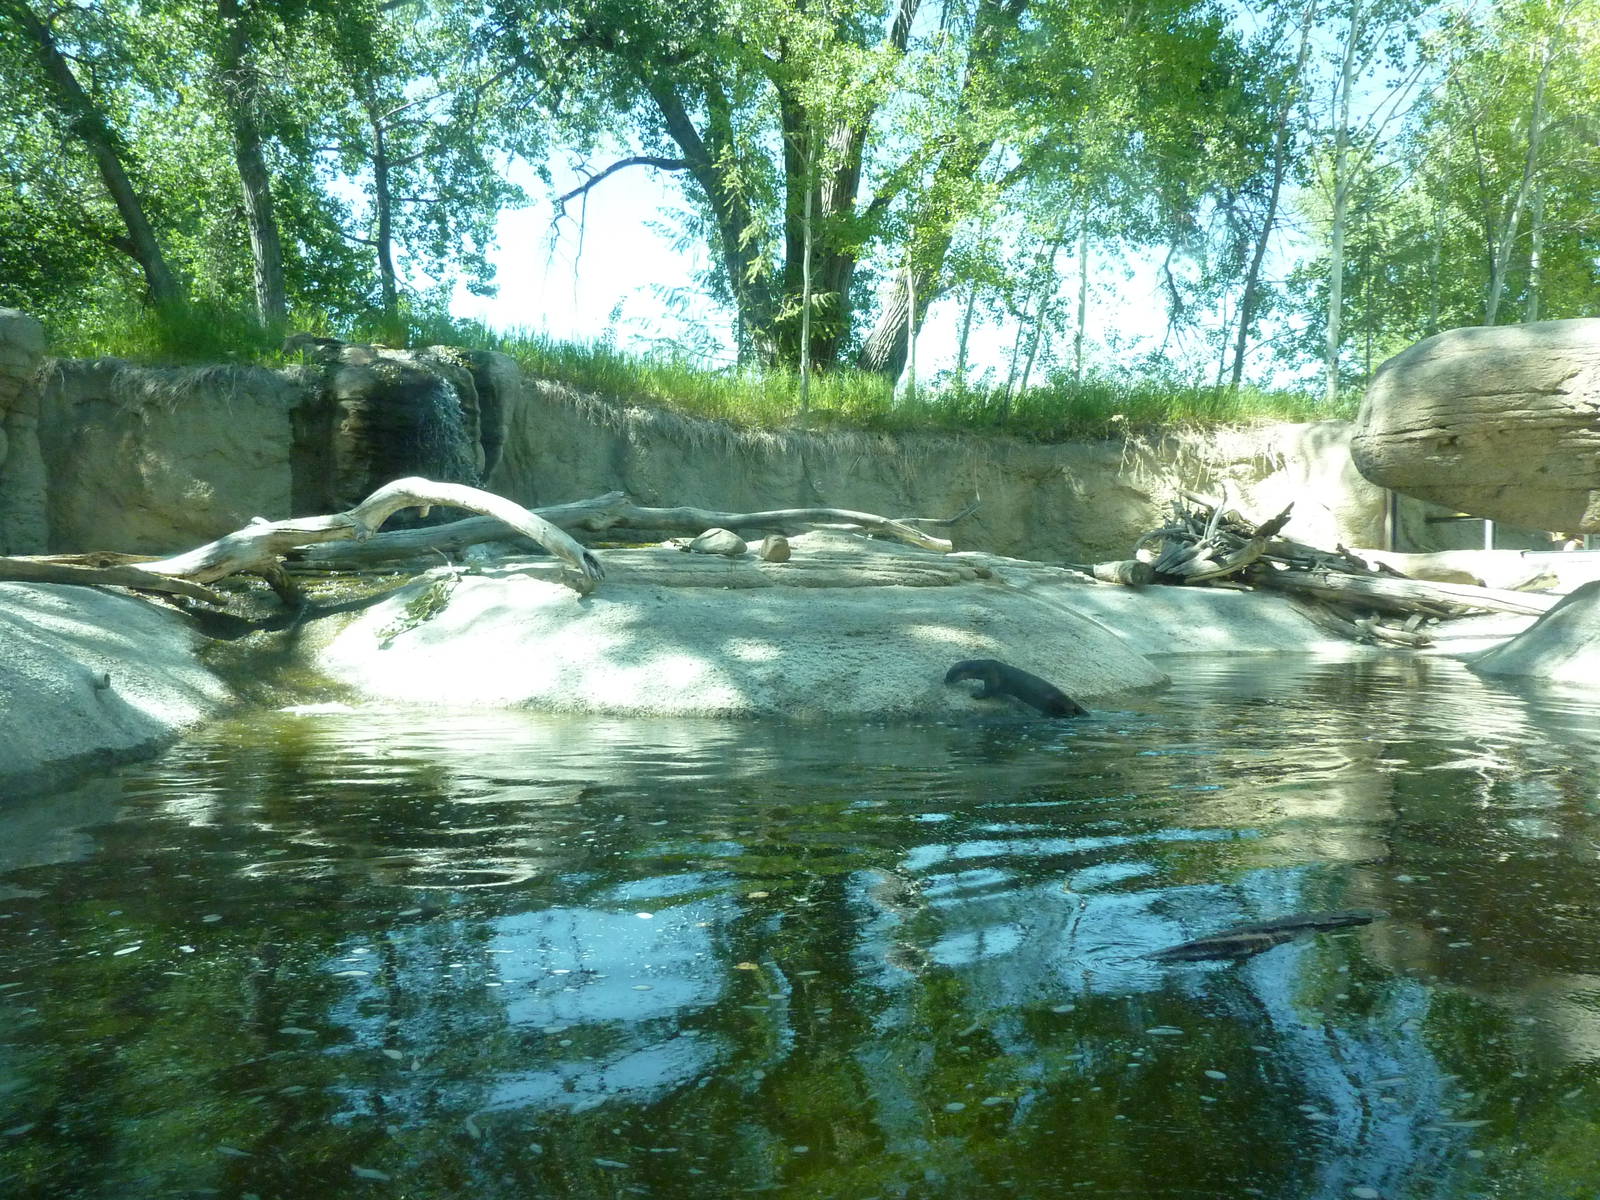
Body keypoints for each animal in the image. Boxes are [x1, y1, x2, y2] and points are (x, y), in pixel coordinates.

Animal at [944, 659, 1086, 718]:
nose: (945, 681)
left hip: (1058, 703)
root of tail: (1072, 701)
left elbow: (990, 690)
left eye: (950, 675)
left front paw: (976, 695)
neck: (984, 667)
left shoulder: (992, 676)